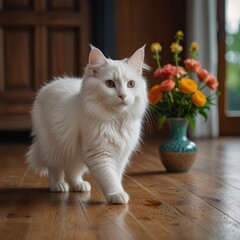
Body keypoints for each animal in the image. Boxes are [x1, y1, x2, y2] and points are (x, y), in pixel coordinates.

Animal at [25, 45, 147, 204]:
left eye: (131, 84)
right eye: (109, 84)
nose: (122, 96)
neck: (116, 120)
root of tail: (49, 85)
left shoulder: (121, 155)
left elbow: (116, 175)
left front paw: (117, 193)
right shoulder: (99, 154)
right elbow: (109, 178)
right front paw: (116, 195)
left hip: (75, 152)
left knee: (71, 171)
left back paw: (79, 185)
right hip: (53, 147)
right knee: (55, 168)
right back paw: (58, 186)